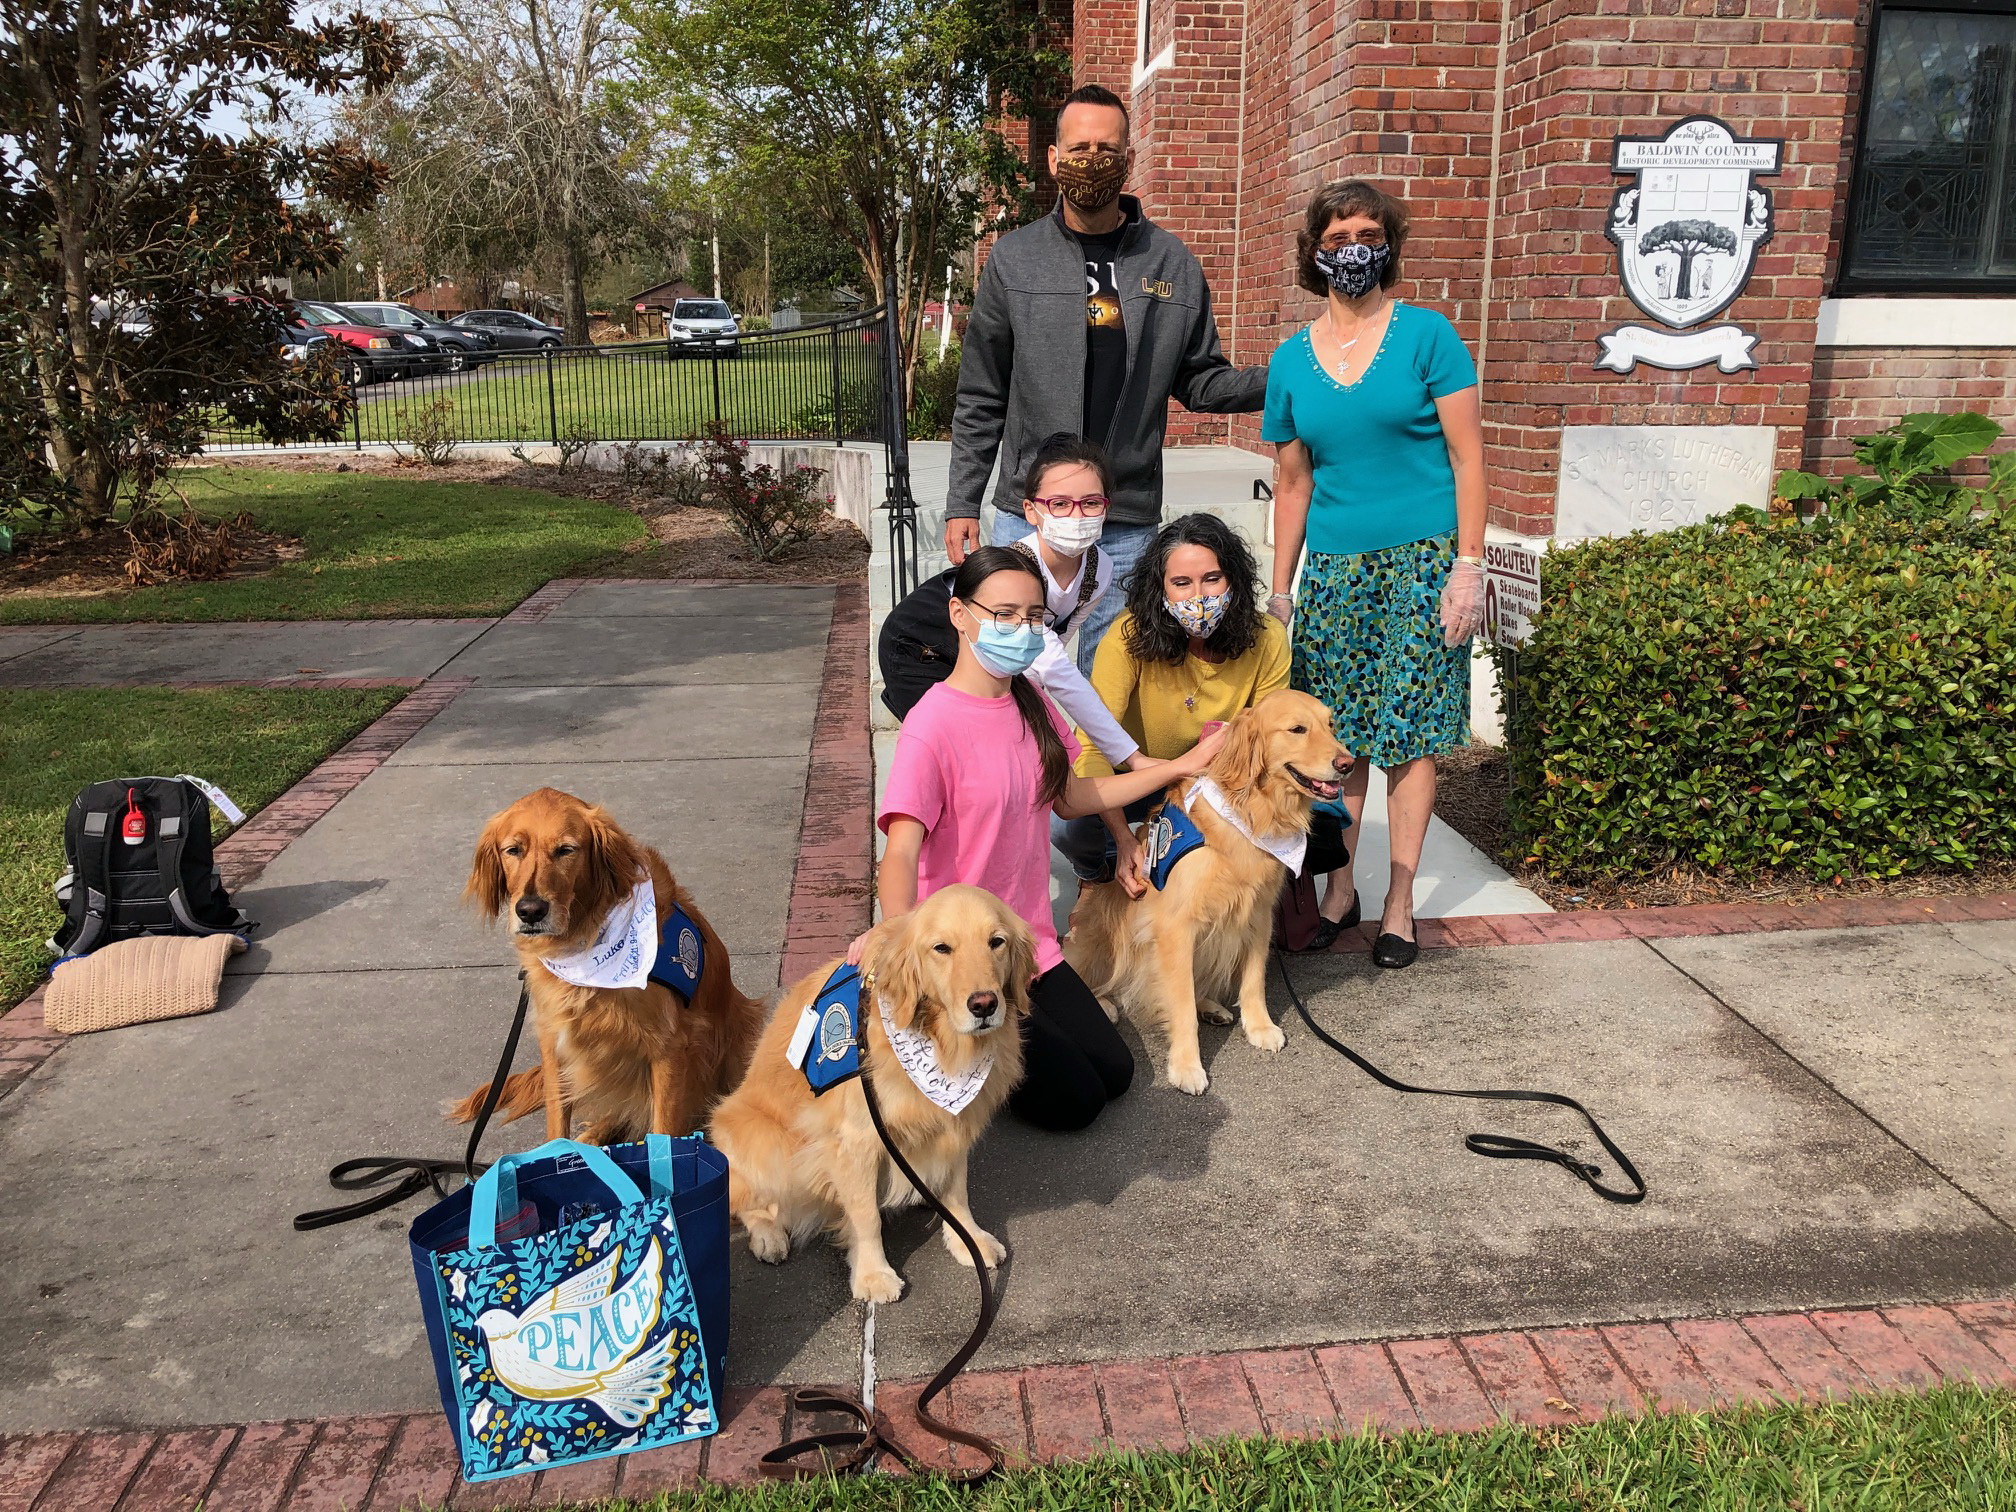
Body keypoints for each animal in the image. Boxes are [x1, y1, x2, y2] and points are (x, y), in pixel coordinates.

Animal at [453, 787, 765, 1145]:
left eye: (566, 850)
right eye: (513, 850)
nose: (530, 911)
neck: (584, 943)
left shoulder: (670, 1047)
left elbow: (665, 1129)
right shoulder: (554, 1042)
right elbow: (557, 1123)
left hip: (745, 1031)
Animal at [708, 885, 1033, 1303]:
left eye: (997, 942)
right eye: (941, 948)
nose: (984, 1005)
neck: (939, 1044)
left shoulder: (954, 1122)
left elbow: (957, 1190)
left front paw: (969, 1240)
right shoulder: (857, 1139)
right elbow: (866, 1216)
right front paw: (873, 1274)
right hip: (767, 1144)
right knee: (748, 1199)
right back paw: (769, 1235)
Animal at [1064, 689, 1350, 1096]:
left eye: (1331, 725)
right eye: (1297, 729)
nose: (1347, 763)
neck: (1252, 812)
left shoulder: (1258, 914)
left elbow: (1253, 980)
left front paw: (1260, 1026)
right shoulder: (1175, 927)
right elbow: (1180, 1003)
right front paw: (1186, 1065)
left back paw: (1212, 1007)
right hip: (1103, 939)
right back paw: (1105, 1005)